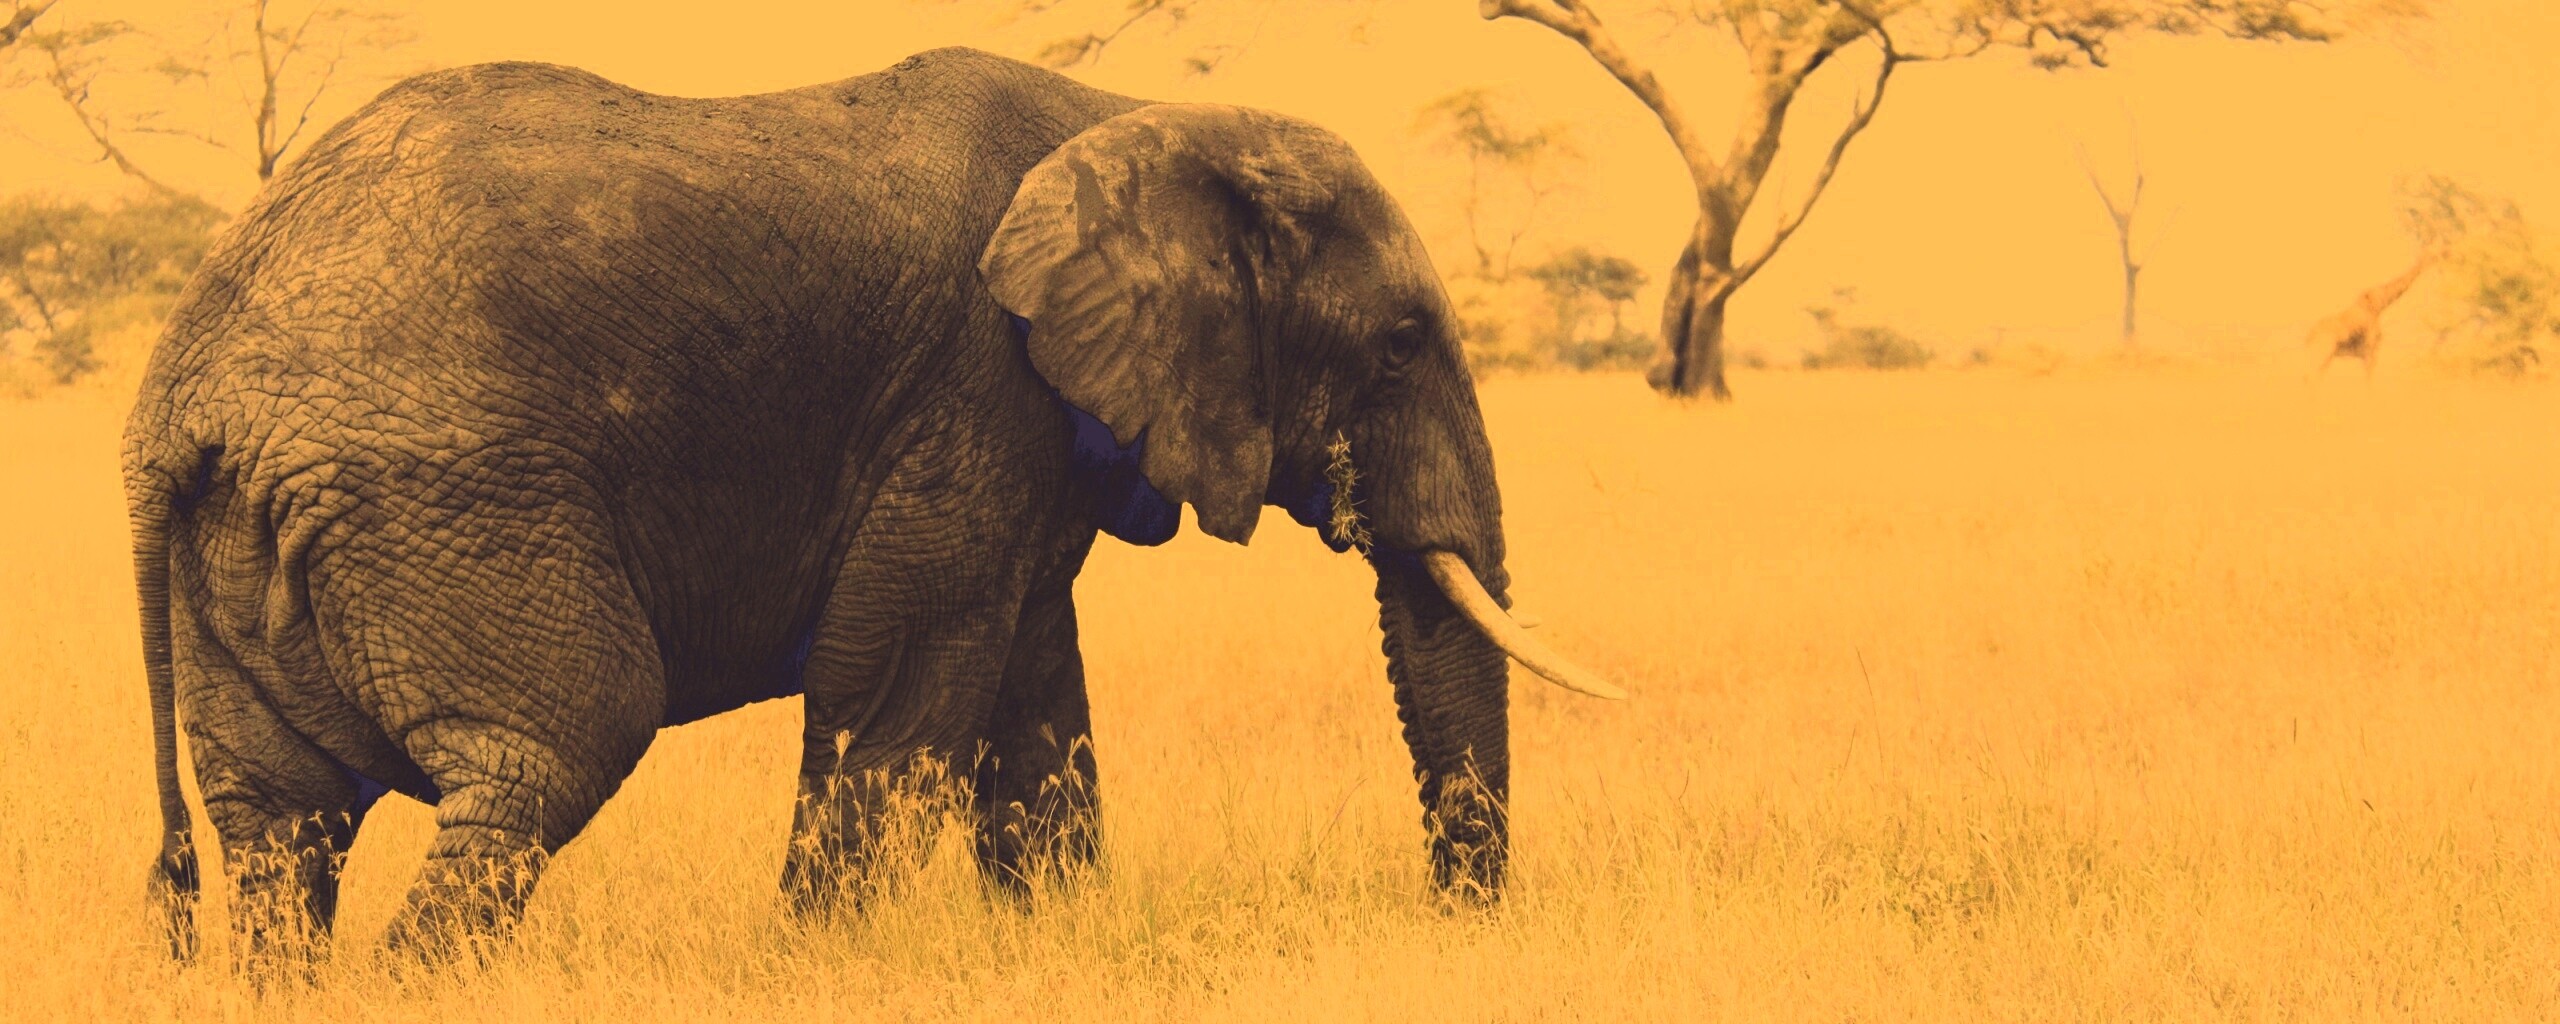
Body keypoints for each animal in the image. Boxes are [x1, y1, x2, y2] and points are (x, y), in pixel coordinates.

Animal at [122, 46, 1621, 961]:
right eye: (1401, 342)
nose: (1453, 922)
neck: (1133, 117)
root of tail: (180, 394)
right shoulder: (972, 383)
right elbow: (900, 680)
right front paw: (816, 965)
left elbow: (1031, 694)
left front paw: (1050, 946)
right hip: (444, 496)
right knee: (549, 750)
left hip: (256, 537)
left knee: (281, 826)